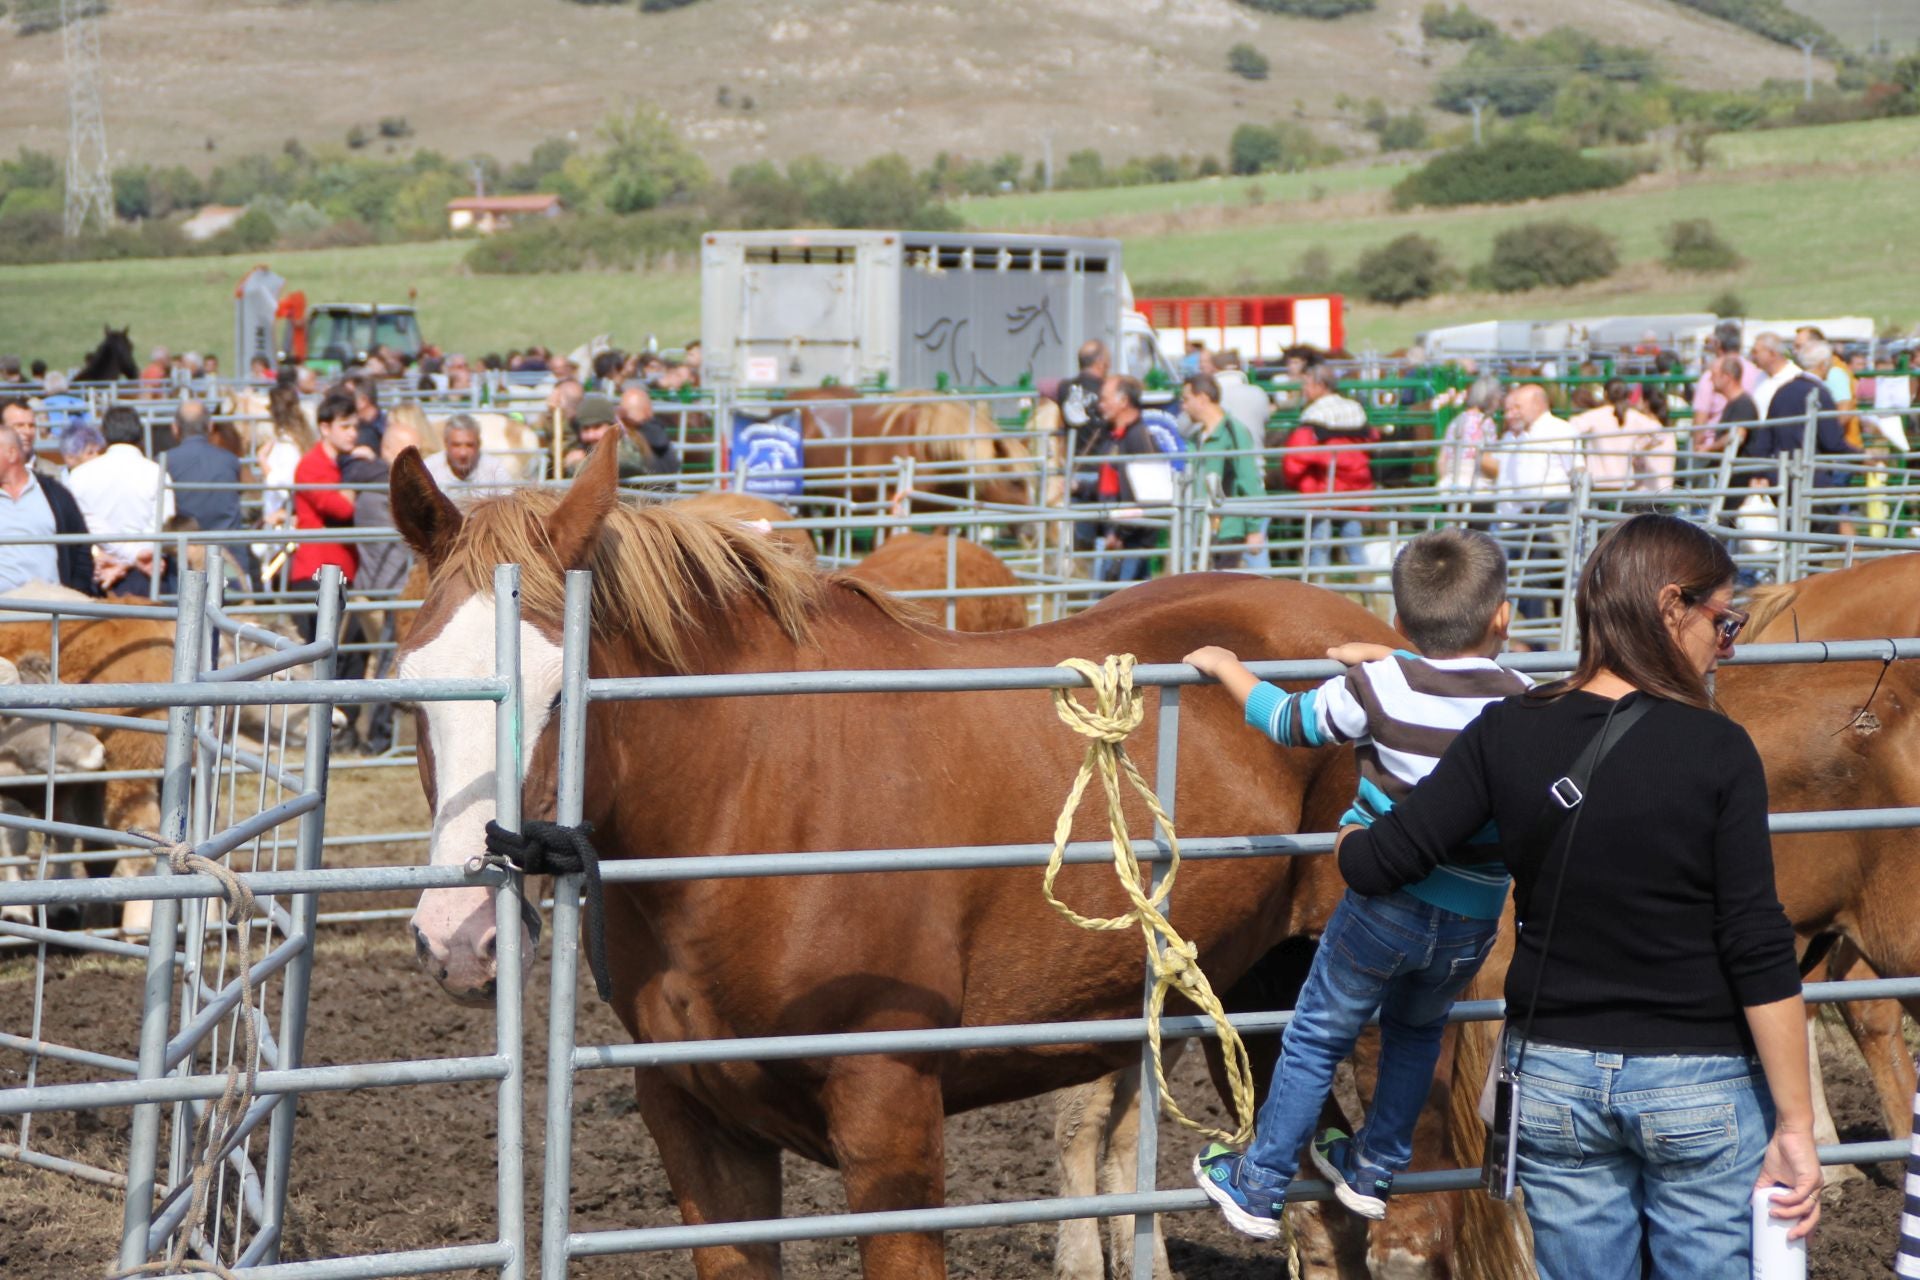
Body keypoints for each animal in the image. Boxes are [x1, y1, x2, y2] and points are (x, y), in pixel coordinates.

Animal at [393, 441, 1397, 1280]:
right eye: (407, 689)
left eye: (566, 693)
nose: (461, 938)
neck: (752, 798)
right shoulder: (701, 1131)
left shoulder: (891, 1123)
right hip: (1262, 1005)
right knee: (1325, 1219)